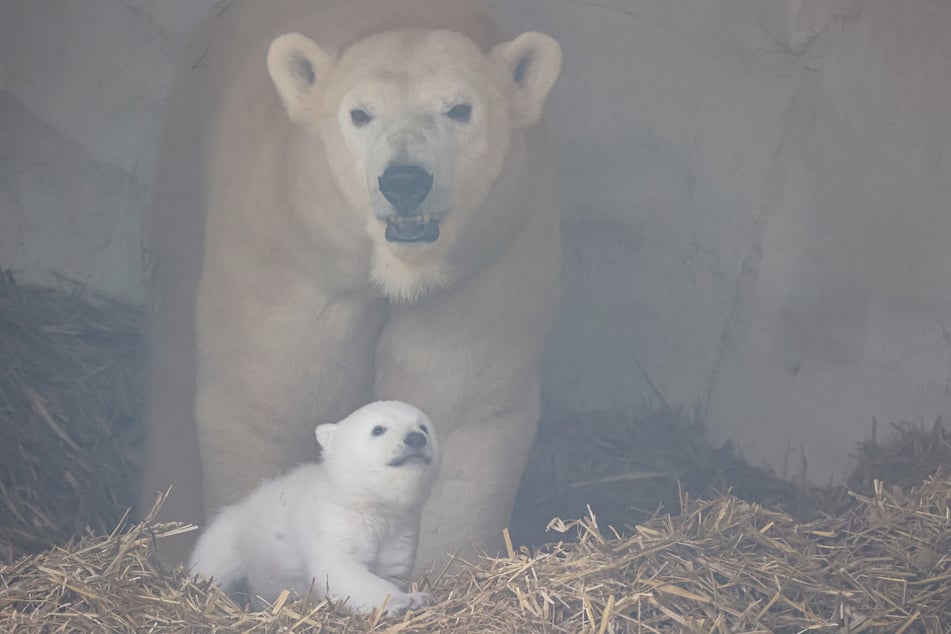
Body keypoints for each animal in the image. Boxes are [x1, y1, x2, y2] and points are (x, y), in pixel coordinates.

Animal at [140, 0, 556, 568]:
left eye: (458, 109)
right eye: (360, 114)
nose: (404, 181)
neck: (396, 273)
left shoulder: (481, 267)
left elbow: (459, 407)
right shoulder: (289, 255)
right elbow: (266, 400)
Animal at [189, 400, 438, 612]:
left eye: (423, 427)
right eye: (378, 429)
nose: (416, 438)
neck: (368, 504)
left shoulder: (400, 531)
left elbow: (391, 569)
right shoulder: (334, 522)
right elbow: (341, 569)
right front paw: (409, 599)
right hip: (230, 538)